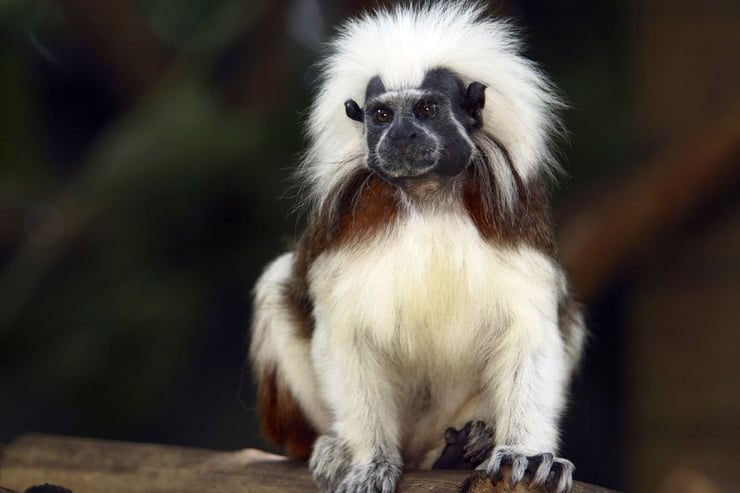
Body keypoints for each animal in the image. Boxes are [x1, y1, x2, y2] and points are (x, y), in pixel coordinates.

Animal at [249, 2, 586, 493]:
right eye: (382, 116)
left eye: (427, 110)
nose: (401, 136)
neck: (428, 197)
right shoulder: (344, 234)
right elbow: (345, 336)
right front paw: (369, 461)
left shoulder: (517, 225)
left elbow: (531, 333)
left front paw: (523, 452)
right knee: (278, 288)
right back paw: (335, 447)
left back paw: (464, 447)